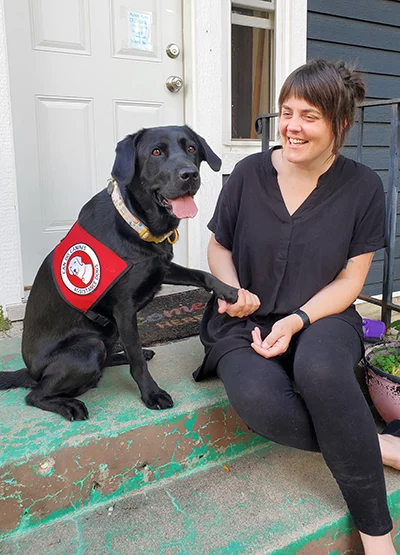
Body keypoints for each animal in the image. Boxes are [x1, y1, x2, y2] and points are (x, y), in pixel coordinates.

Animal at [0, 126, 238, 422]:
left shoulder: (161, 268)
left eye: (192, 148)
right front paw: (151, 394)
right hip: (90, 347)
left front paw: (229, 290)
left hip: (108, 332)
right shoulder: (124, 309)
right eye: (156, 152)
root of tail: (30, 371)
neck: (138, 222)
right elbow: (136, 361)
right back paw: (69, 405)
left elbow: (200, 273)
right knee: (35, 395)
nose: (190, 174)